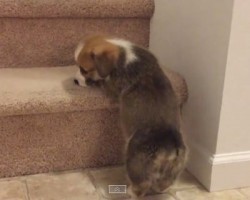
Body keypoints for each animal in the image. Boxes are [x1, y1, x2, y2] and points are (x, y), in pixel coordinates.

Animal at [74, 35, 188, 197]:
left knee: (141, 184)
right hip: (175, 167)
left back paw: (130, 191)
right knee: (164, 183)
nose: (75, 81)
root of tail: (169, 146)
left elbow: (102, 82)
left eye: (84, 70)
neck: (124, 54)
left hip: (134, 160)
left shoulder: (111, 86)